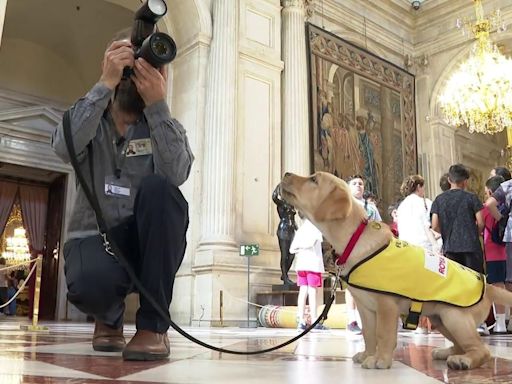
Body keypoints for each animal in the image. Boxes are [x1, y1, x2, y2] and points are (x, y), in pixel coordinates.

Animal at [280, 171, 512, 368]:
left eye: (313, 179)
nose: (286, 174)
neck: (354, 239)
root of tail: (488, 286)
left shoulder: (386, 306)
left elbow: (383, 334)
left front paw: (380, 359)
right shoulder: (365, 307)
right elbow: (369, 334)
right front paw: (368, 354)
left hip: (455, 317)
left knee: (482, 350)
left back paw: (463, 360)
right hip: (440, 319)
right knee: (462, 345)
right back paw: (447, 353)